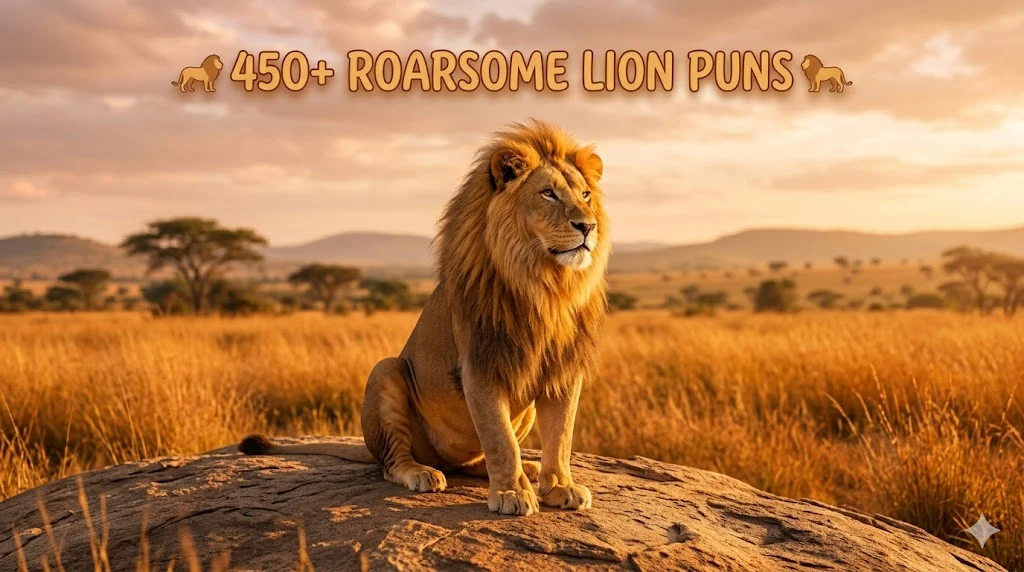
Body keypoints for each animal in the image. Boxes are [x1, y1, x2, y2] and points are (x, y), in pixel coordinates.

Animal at [240, 120, 609, 516]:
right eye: (548, 194)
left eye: (586, 195)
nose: (587, 227)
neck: (545, 285)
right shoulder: (481, 366)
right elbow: (499, 438)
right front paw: (511, 493)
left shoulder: (564, 369)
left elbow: (561, 436)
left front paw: (559, 487)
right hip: (386, 370)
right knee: (392, 462)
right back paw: (423, 473)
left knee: (477, 460)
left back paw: (529, 467)